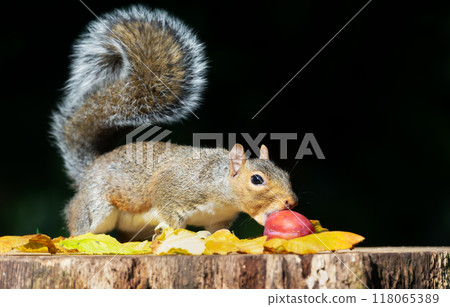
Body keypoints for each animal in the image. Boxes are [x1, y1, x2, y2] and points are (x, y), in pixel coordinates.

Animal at [51, 5, 298, 241]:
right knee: (79, 226)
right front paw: (176, 234)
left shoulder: (219, 219)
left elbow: (218, 233)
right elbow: (170, 216)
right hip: (95, 206)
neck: (220, 186)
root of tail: (89, 169)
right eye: (257, 179)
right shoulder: (173, 188)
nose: (291, 202)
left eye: (286, 175)